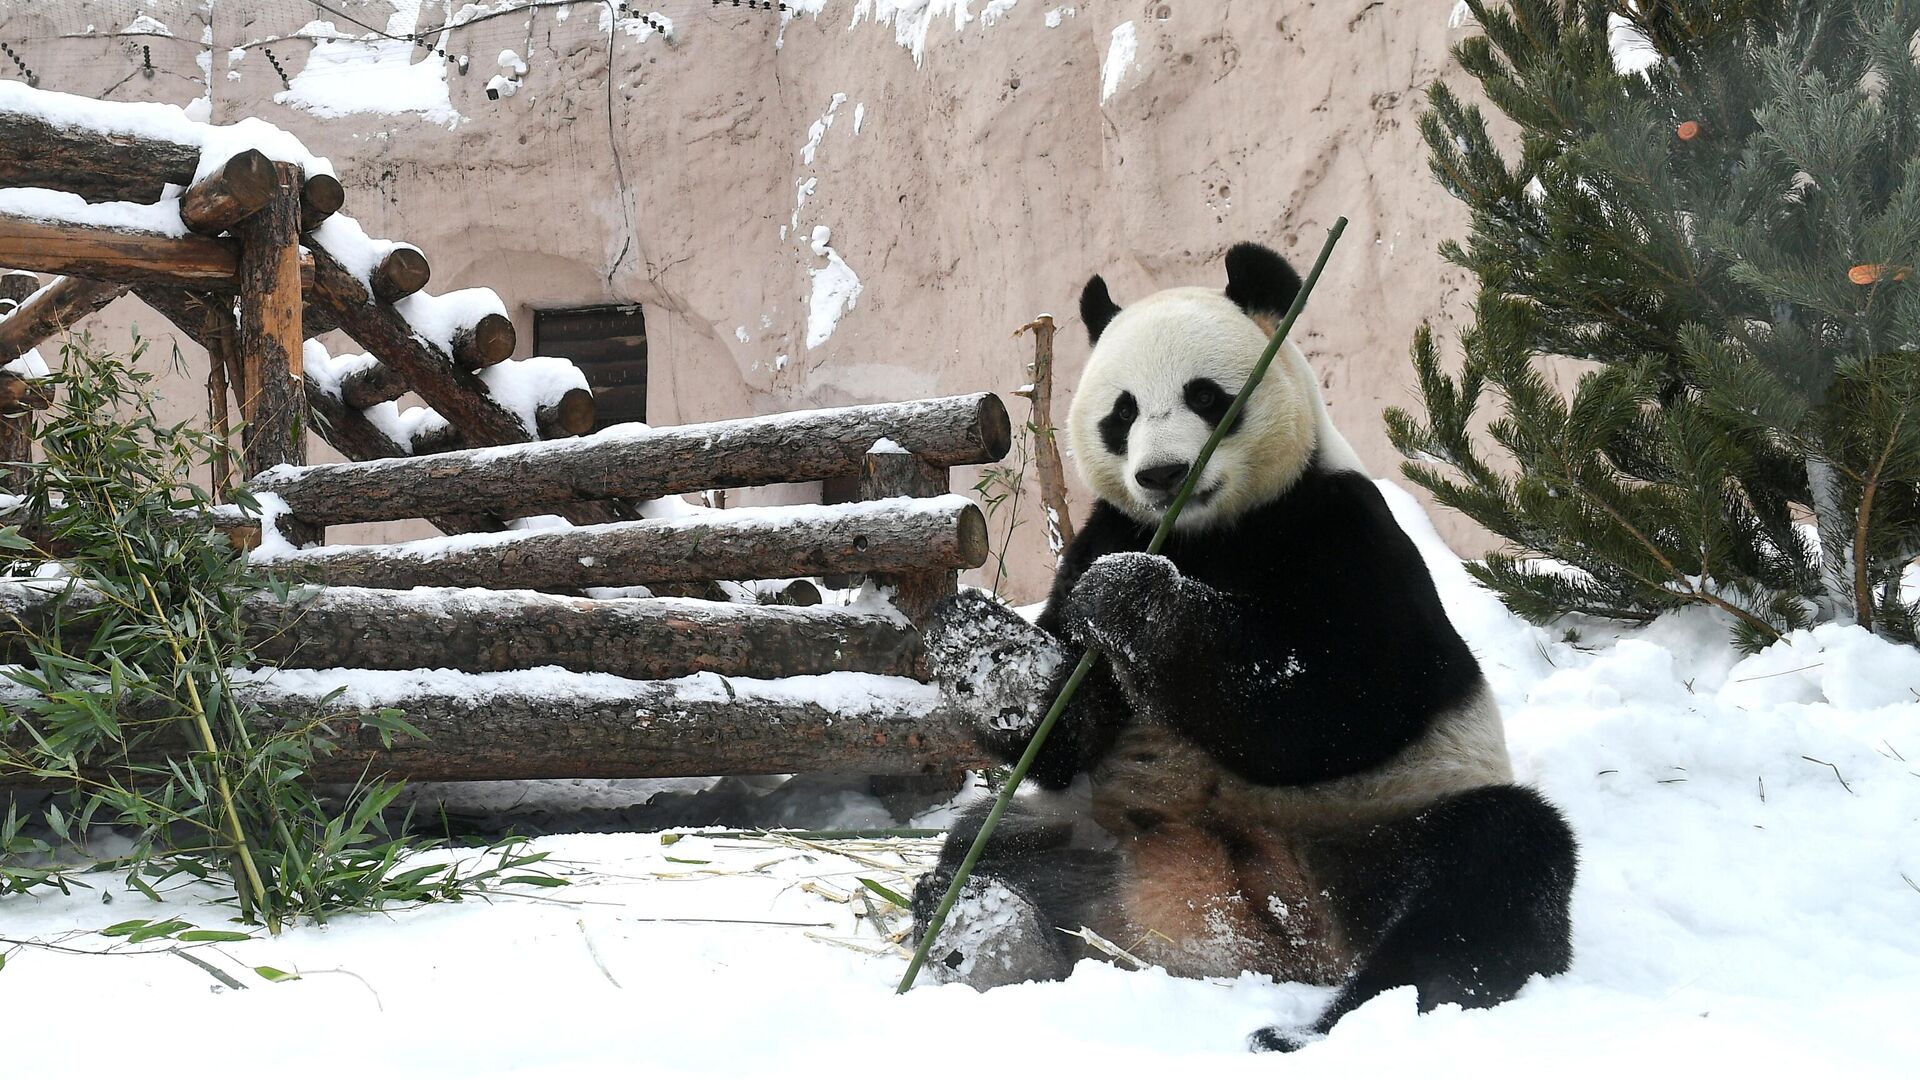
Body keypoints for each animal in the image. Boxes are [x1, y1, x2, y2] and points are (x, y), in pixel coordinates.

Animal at [910, 239, 1574, 1045]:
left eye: (1205, 397)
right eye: (1122, 413)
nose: (1163, 474)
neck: (1206, 534)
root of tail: (1244, 929)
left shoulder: (1341, 525)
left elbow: (1337, 703)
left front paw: (1135, 600)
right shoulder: (1108, 529)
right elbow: (1068, 734)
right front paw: (992, 656)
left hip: (1375, 829)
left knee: (1491, 869)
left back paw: (1318, 1029)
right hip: (1091, 832)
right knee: (986, 844)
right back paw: (983, 931)